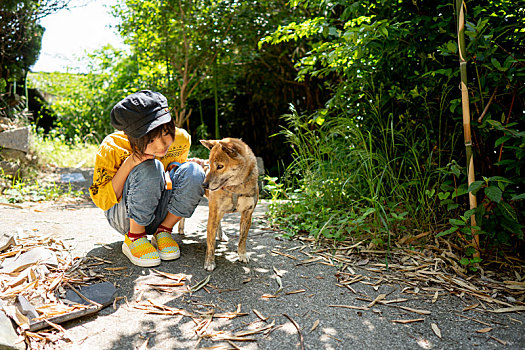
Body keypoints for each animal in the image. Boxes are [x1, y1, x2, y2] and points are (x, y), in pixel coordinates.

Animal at [200, 138, 258, 272]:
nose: (204, 185)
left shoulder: (247, 213)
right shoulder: (214, 213)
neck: (236, 188)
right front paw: (209, 262)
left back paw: (221, 235)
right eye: (209, 165)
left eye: (220, 166)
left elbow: (242, 238)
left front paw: (242, 254)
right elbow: (210, 243)